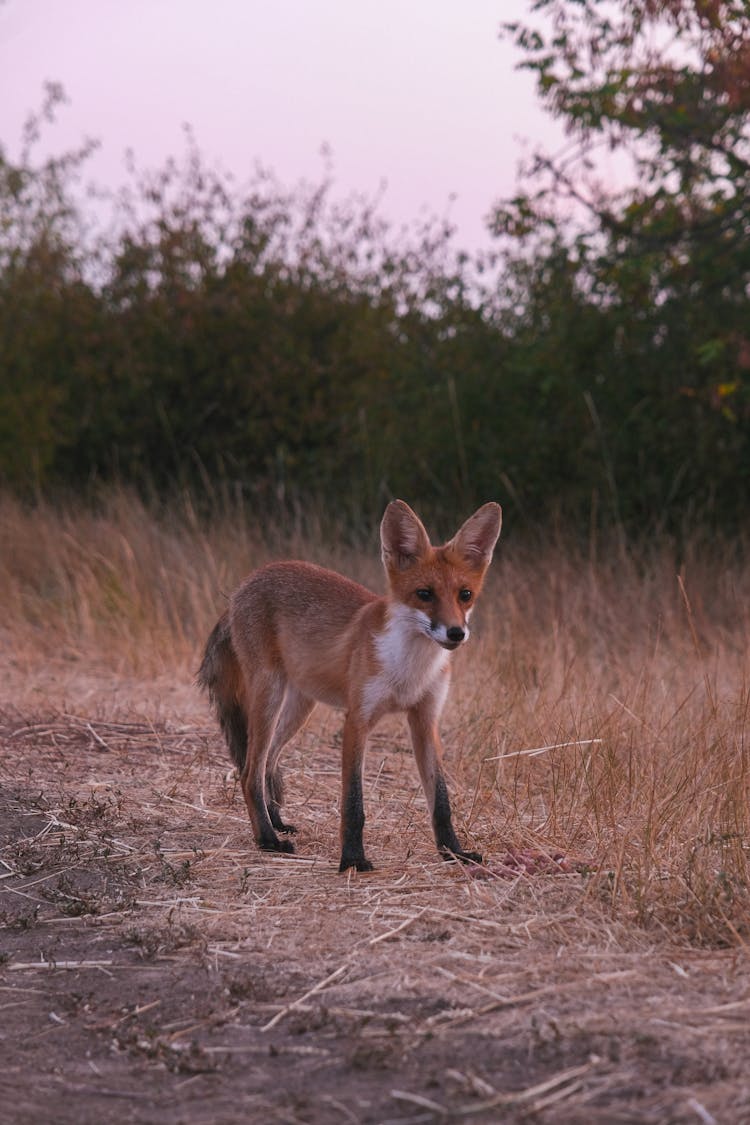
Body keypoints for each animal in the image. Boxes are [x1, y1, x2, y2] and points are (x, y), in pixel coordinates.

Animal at [199, 497, 501, 873]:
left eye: (465, 595)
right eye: (424, 594)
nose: (456, 633)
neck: (408, 669)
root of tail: (243, 585)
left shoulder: (425, 720)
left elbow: (441, 801)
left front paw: (453, 852)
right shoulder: (358, 719)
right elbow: (353, 803)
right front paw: (353, 859)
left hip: (300, 708)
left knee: (268, 763)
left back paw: (276, 821)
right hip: (269, 697)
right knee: (249, 771)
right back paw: (268, 839)